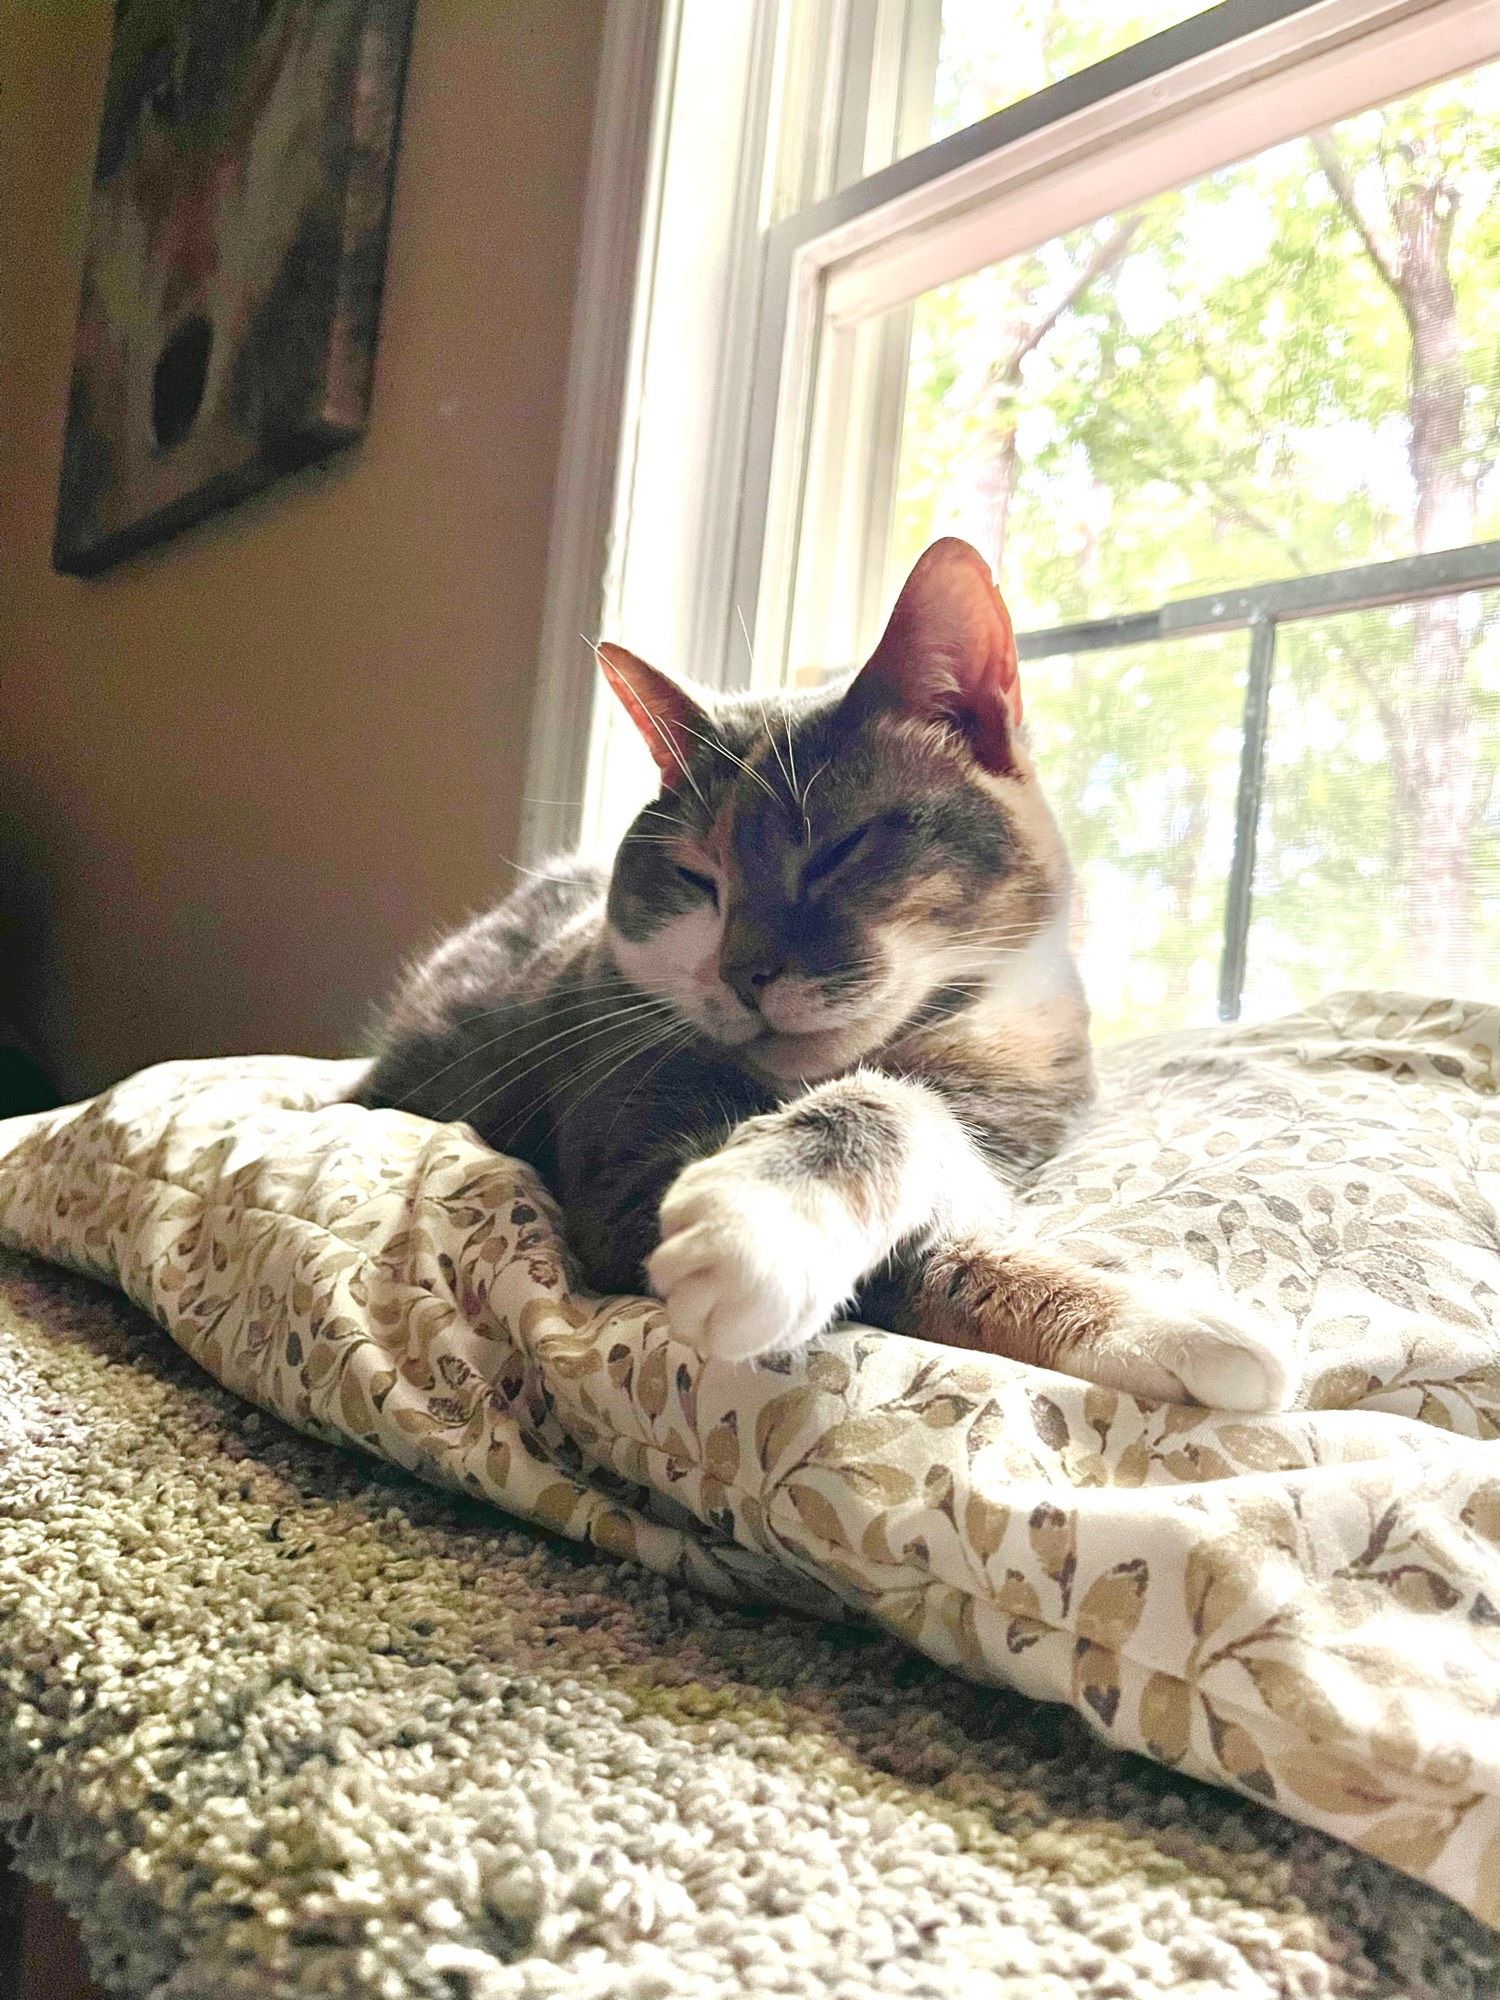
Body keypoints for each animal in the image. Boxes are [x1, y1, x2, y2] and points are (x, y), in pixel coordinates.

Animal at [358, 532, 1296, 1408]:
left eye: (839, 851)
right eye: (696, 878)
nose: (743, 972)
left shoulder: (1011, 1131)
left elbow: (944, 1187)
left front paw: (1160, 1324)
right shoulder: (623, 1173)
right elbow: (891, 1152)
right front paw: (758, 1226)